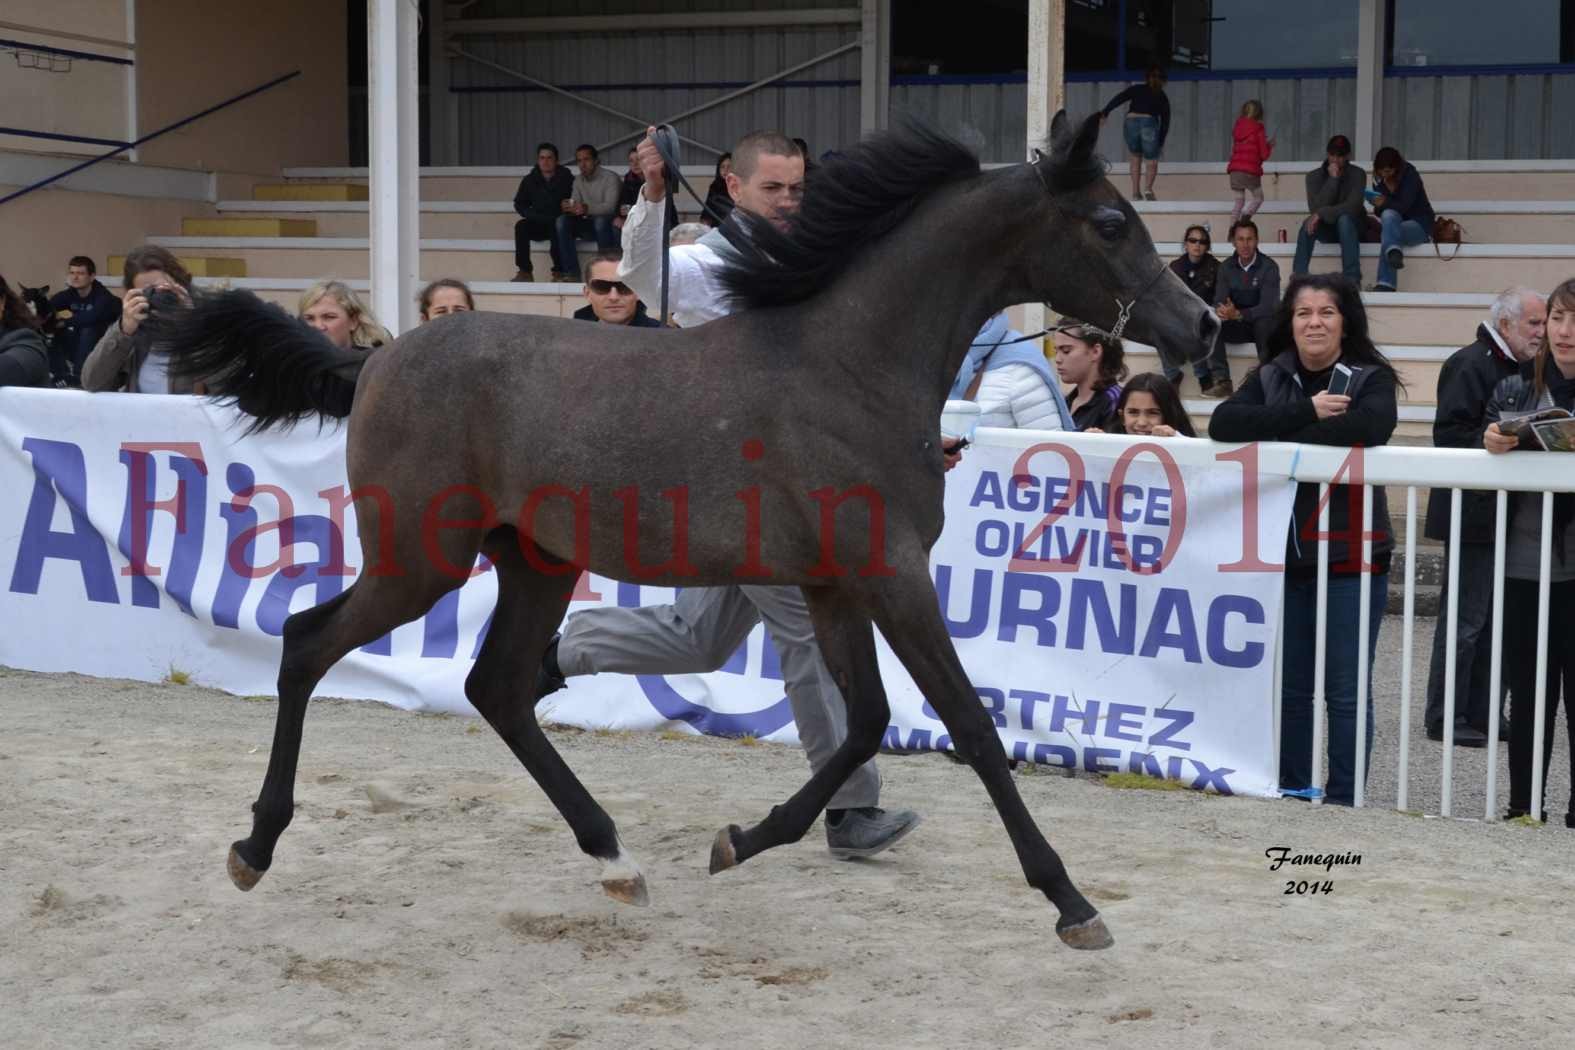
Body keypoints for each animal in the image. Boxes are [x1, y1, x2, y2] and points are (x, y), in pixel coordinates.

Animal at [163, 113, 1215, 950]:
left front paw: (740, 842)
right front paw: (1071, 902)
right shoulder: (891, 574)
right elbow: (969, 724)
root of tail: (371, 361)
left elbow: (864, 723)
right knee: (309, 643)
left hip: (536, 562)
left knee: (497, 686)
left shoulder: (833, 584)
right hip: (419, 560)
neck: (850, 365)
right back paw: (254, 846)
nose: (1200, 324)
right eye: (1110, 222)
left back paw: (614, 859)